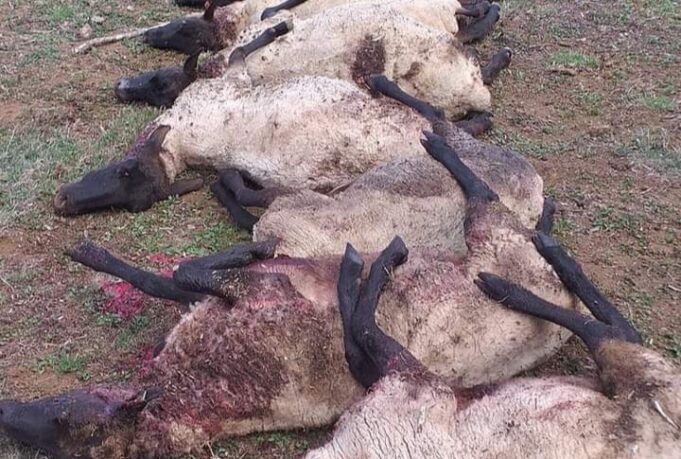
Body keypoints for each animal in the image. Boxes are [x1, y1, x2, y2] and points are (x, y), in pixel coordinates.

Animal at [303, 140, 680, 459]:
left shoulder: (416, 387)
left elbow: (363, 328)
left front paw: (375, 260)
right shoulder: (402, 388)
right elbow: (356, 350)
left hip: (642, 380)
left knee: (606, 331)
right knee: (617, 331)